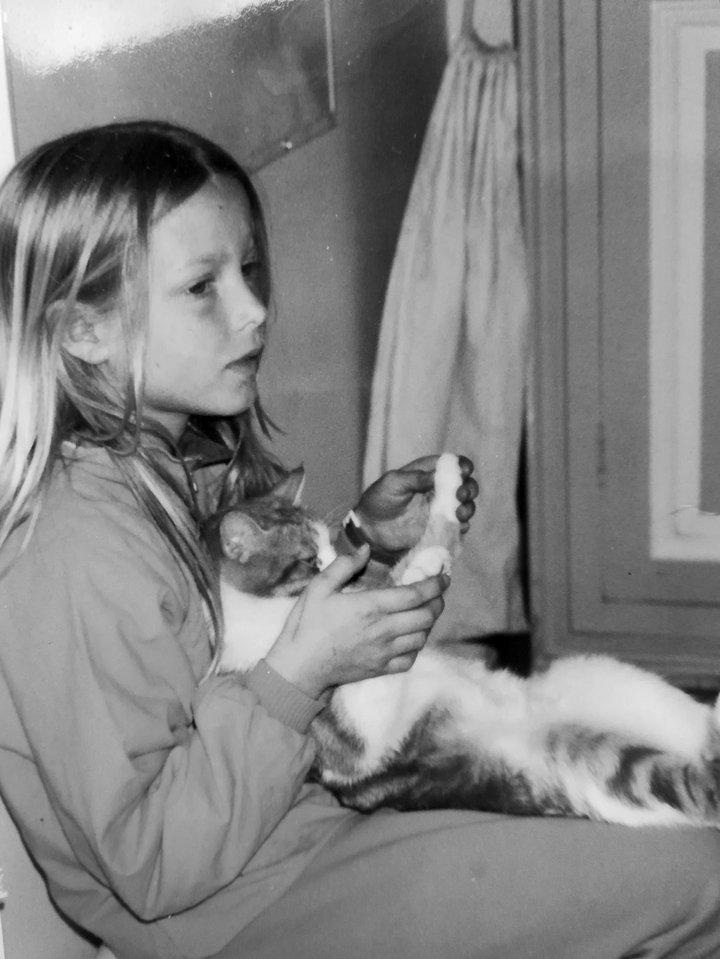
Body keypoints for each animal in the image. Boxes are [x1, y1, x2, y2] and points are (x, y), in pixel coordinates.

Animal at [203, 454, 720, 828]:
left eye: (333, 548)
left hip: (602, 676)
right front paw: (427, 559)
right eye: (311, 561)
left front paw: (446, 485)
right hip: (614, 767)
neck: (269, 618)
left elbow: (428, 541)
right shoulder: (354, 743)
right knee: (705, 789)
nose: (347, 573)